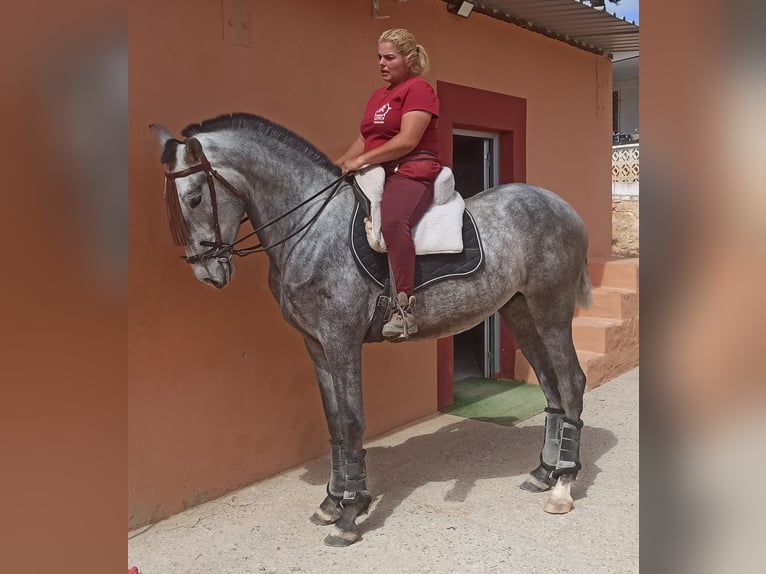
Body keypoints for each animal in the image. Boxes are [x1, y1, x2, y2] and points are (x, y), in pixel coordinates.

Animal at [152, 112, 592, 548]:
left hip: (551, 311)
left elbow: (352, 422)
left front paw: (351, 511)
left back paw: (563, 483)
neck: (310, 229)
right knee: (550, 385)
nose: (207, 272)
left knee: (571, 382)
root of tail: (562, 206)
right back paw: (544, 472)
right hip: (520, 311)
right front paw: (331, 502)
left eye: (194, 197)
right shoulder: (315, 344)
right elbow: (333, 422)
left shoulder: (341, 340)